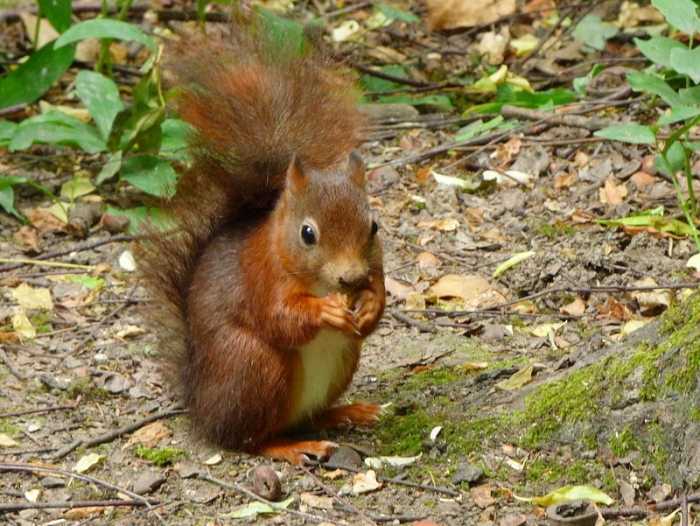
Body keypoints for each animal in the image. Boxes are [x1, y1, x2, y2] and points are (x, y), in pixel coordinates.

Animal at [136, 17, 386, 464]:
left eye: (373, 227)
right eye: (308, 233)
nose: (351, 278)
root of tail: (200, 404)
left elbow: (381, 296)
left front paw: (371, 303)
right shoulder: (262, 279)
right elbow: (280, 319)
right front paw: (325, 311)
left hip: (342, 361)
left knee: (309, 415)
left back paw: (347, 412)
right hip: (255, 366)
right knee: (248, 438)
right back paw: (292, 447)